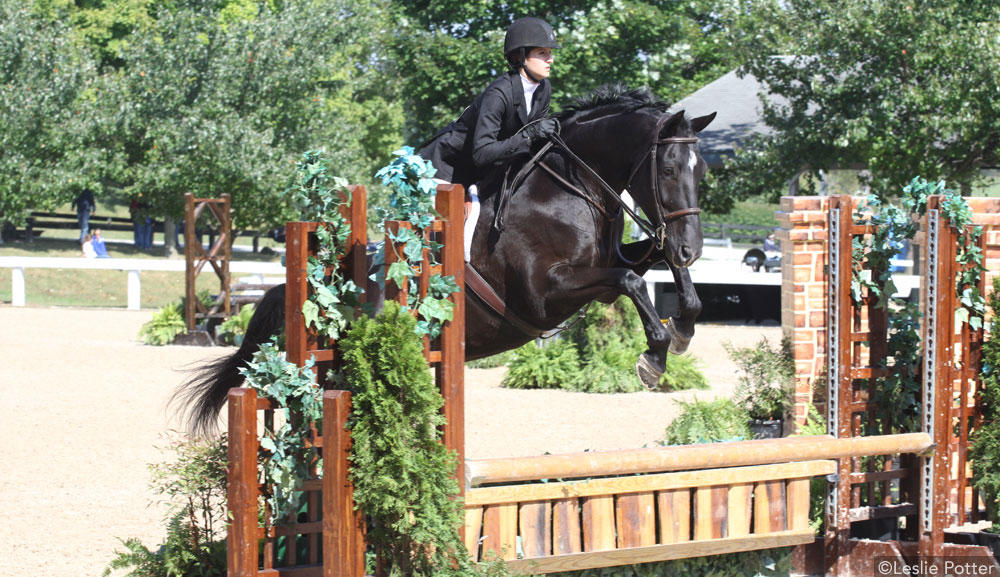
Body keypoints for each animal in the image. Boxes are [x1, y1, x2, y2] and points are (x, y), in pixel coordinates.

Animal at [179, 85, 715, 434]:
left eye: (702, 169)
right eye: (668, 169)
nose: (694, 246)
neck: (569, 186)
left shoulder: (606, 268)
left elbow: (656, 266)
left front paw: (683, 328)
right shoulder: (546, 294)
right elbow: (629, 280)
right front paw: (654, 357)